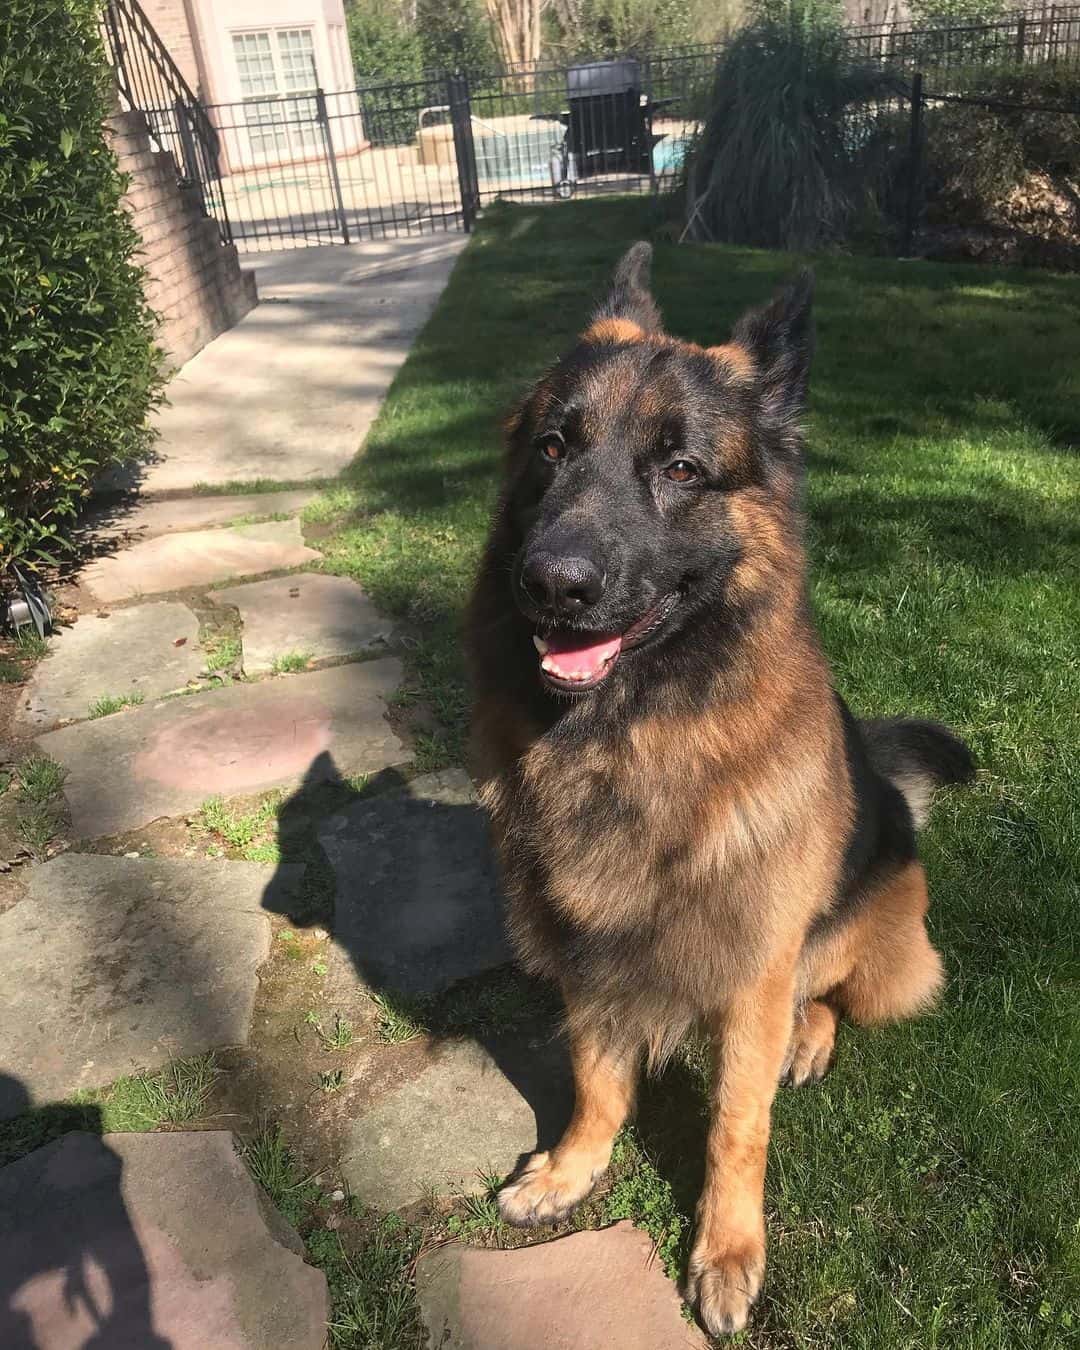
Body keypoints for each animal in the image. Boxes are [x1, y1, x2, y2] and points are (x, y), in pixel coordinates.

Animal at [464, 245, 972, 1339]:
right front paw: (573, 1167)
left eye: (682, 468)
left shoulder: (751, 970)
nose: (552, 583)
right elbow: (595, 1079)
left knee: (831, 994)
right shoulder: (589, 950)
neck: (633, 740)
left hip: (878, 956)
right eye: (554, 448)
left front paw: (729, 1250)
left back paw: (808, 1040)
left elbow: (738, 1122)